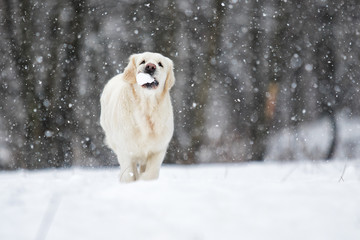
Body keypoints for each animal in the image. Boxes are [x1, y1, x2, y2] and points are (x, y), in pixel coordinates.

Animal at [100, 52, 175, 182]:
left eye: (160, 64)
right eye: (142, 62)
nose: (150, 66)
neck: (146, 107)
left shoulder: (158, 149)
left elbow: (151, 173)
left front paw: (143, 180)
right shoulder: (125, 150)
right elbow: (129, 173)